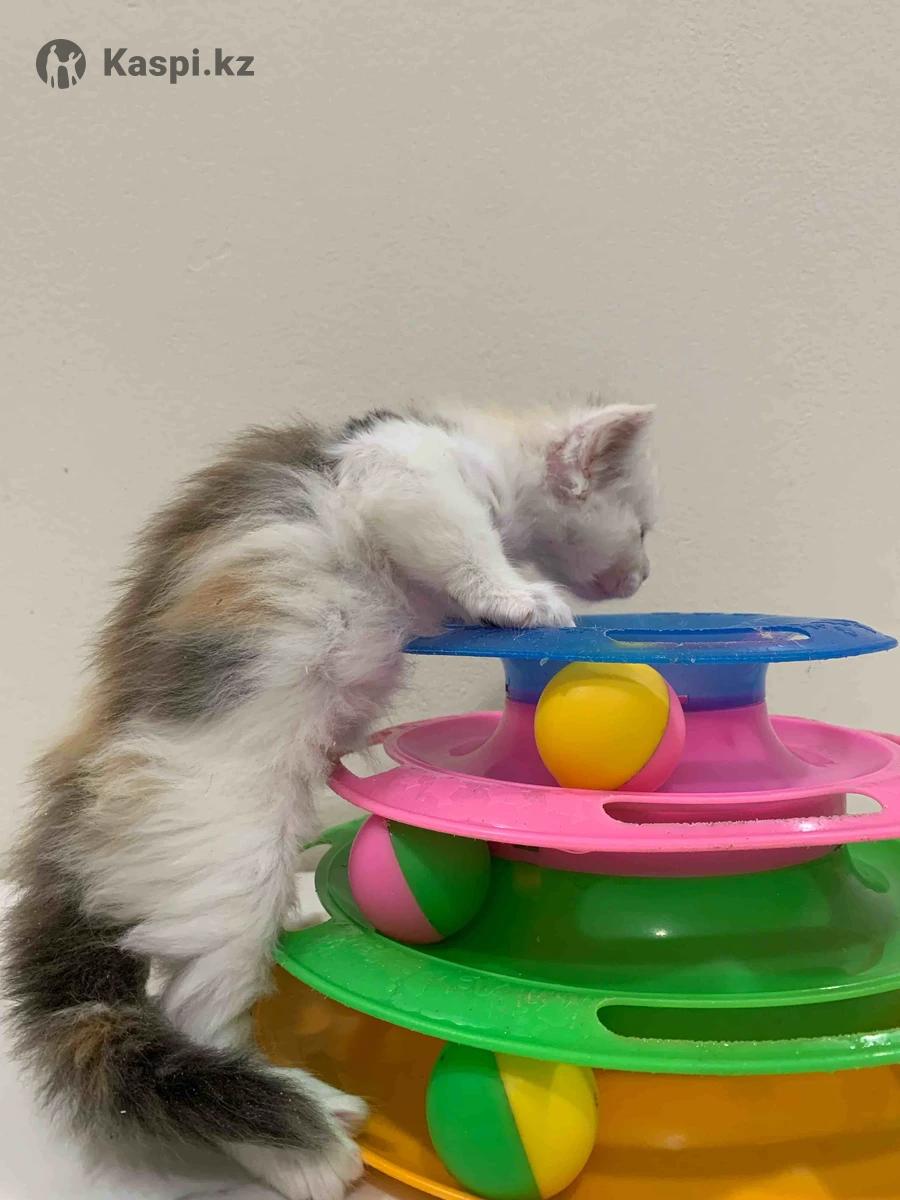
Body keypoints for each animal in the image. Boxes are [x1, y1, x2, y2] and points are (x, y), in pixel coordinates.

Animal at [4, 402, 655, 1200]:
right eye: (643, 529)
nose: (642, 574)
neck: (487, 448)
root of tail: (75, 799)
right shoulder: (399, 470)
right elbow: (464, 544)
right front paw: (519, 596)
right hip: (227, 846)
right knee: (200, 1008)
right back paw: (299, 1149)